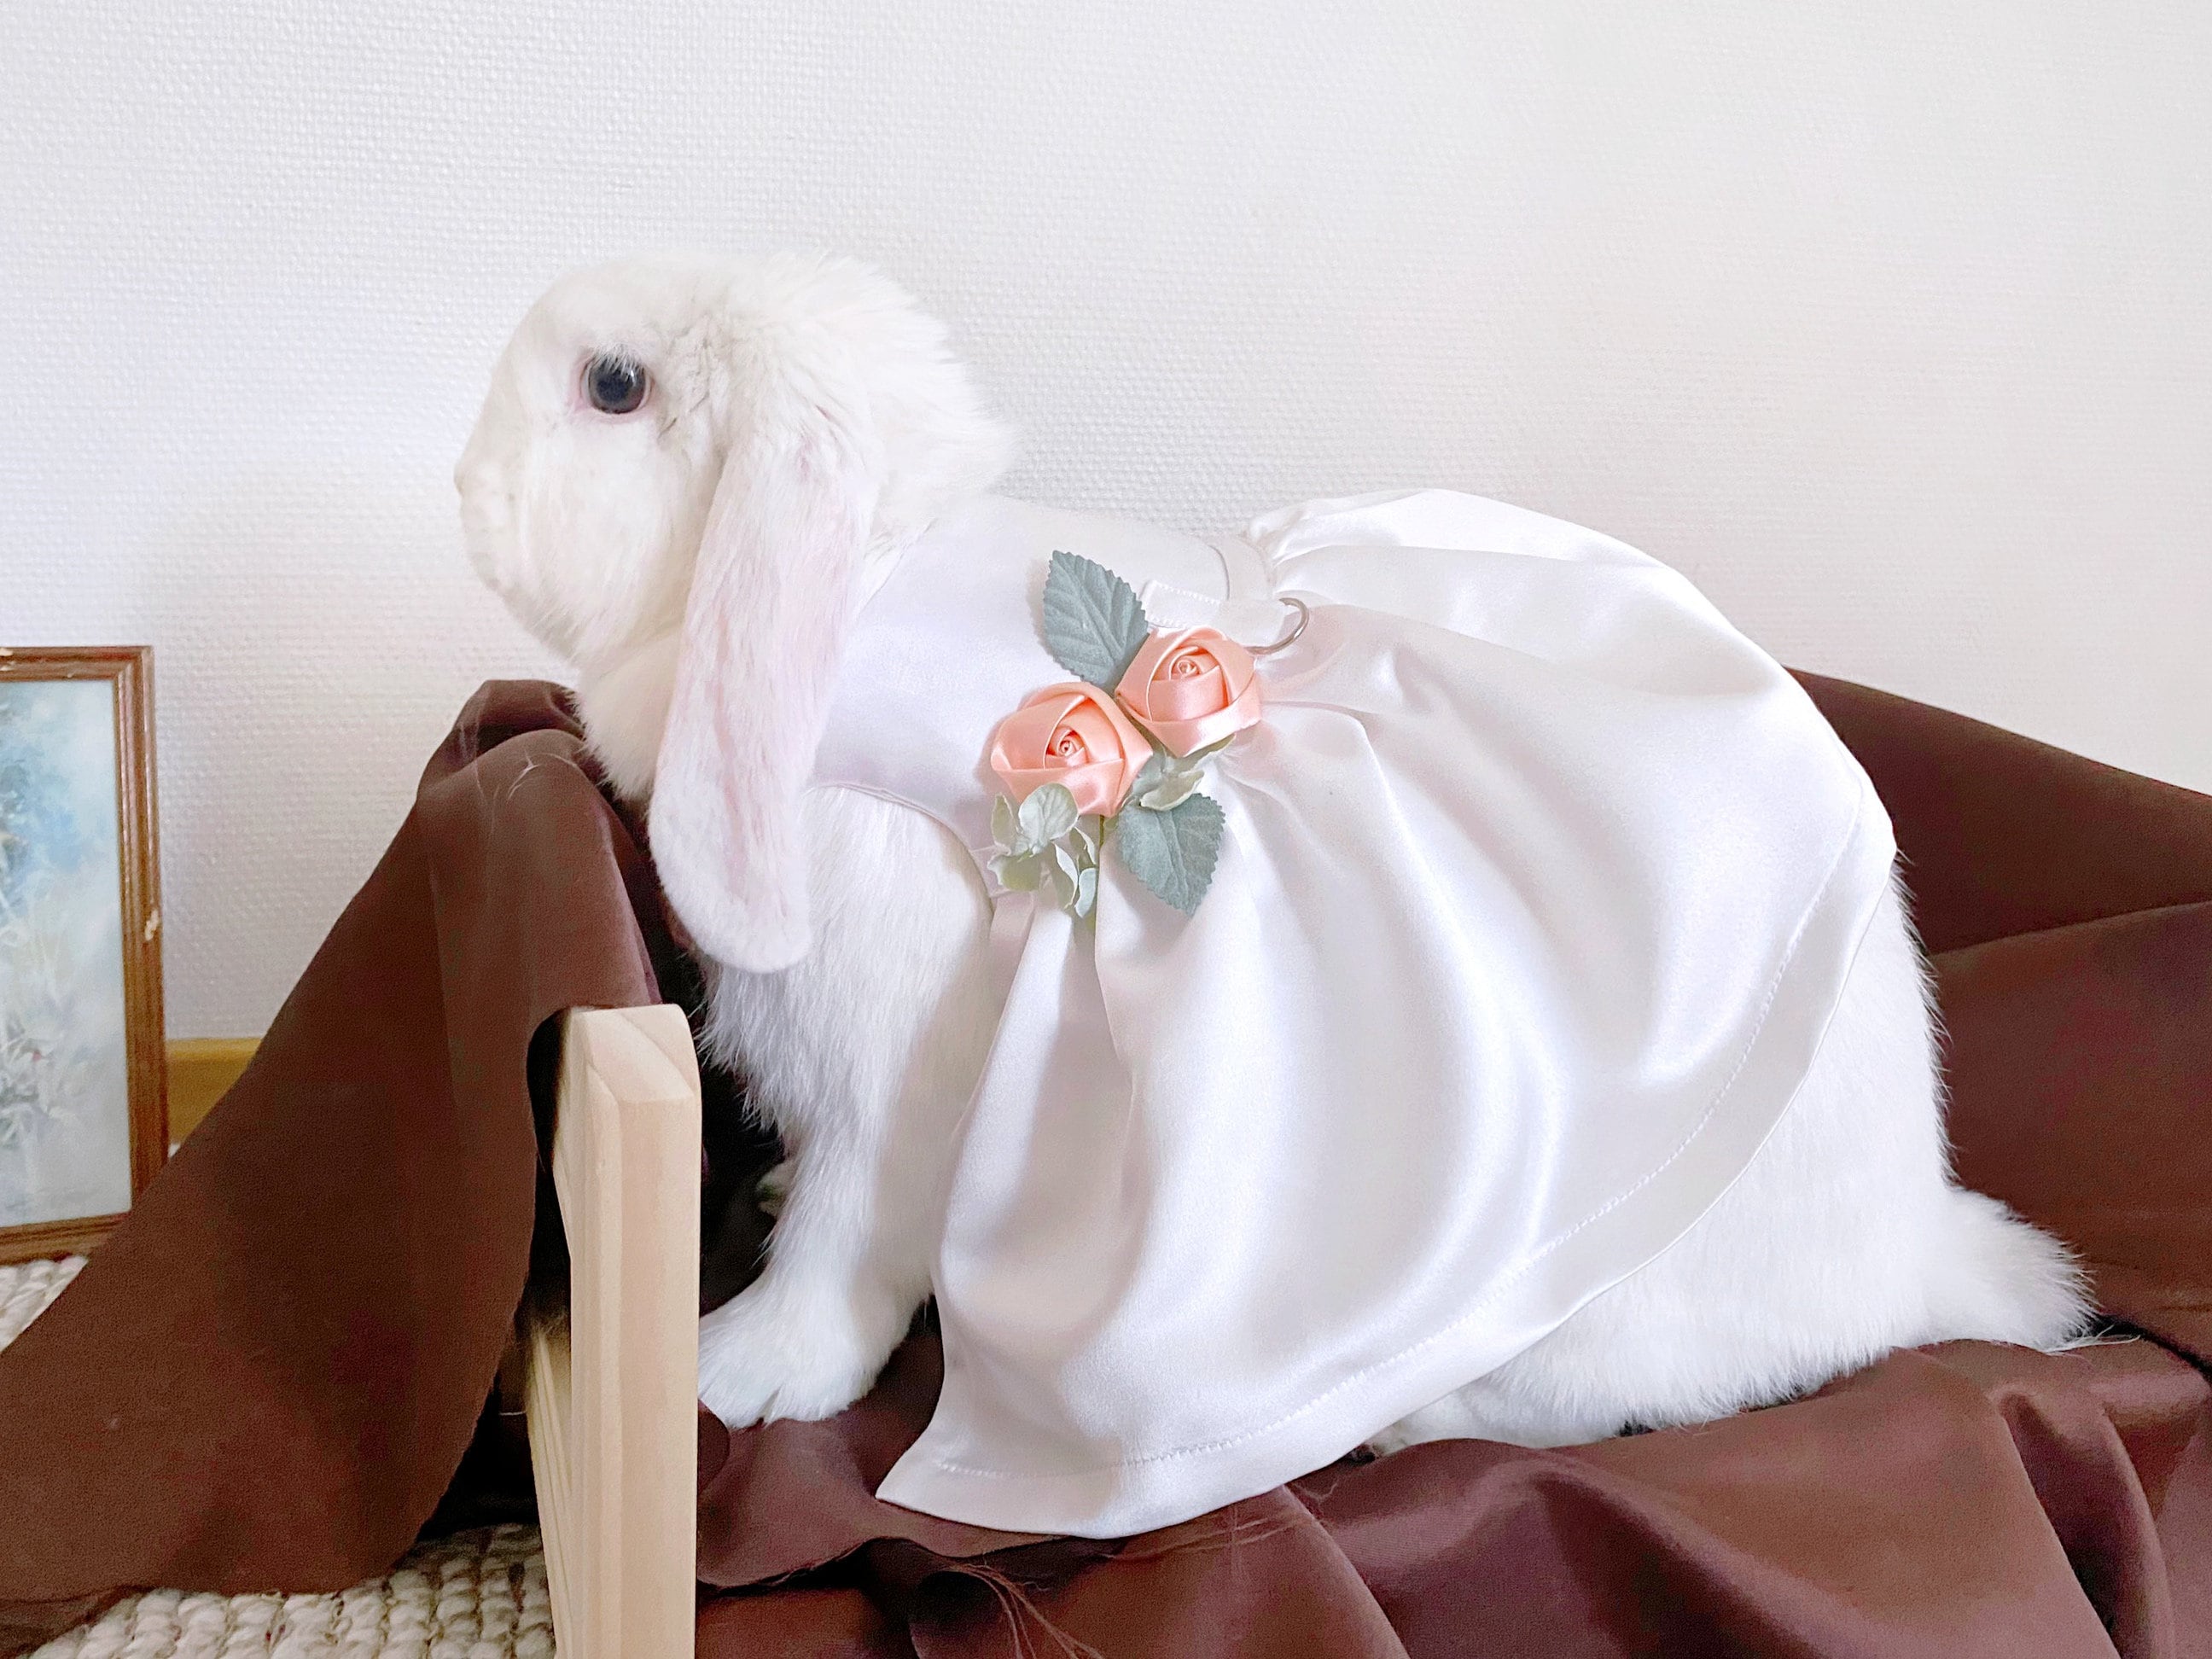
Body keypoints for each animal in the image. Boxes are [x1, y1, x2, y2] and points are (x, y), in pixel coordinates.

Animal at [457, 251, 2089, 1471]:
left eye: (614, 386)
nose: (466, 489)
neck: (871, 584)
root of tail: (1910, 1256)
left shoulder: (896, 1057)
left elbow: (850, 1238)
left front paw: (736, 1373)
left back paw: (1411, 1426)